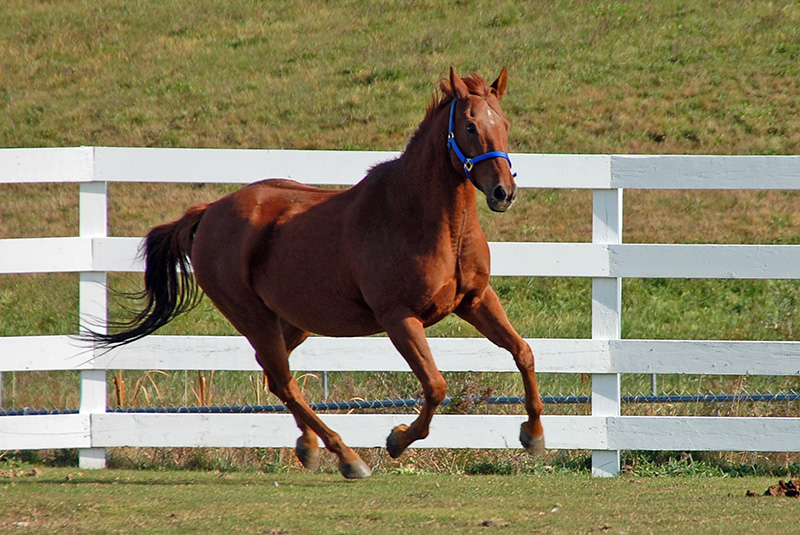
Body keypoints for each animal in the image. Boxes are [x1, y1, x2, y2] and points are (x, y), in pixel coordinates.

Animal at [88, 67, 545, 479]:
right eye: (469, 126)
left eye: (504, 124)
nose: (503, 192)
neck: (425, 219)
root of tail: (210, 211)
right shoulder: (400, 318)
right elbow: (435, 386)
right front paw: (396, 439)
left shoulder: (475, 300)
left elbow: (523, 352)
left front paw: (534, 436)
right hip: (254, 319)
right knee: (285, 381)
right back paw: (346, 457)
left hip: (293, 322)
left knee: (274, 377)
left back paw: (309, 446)